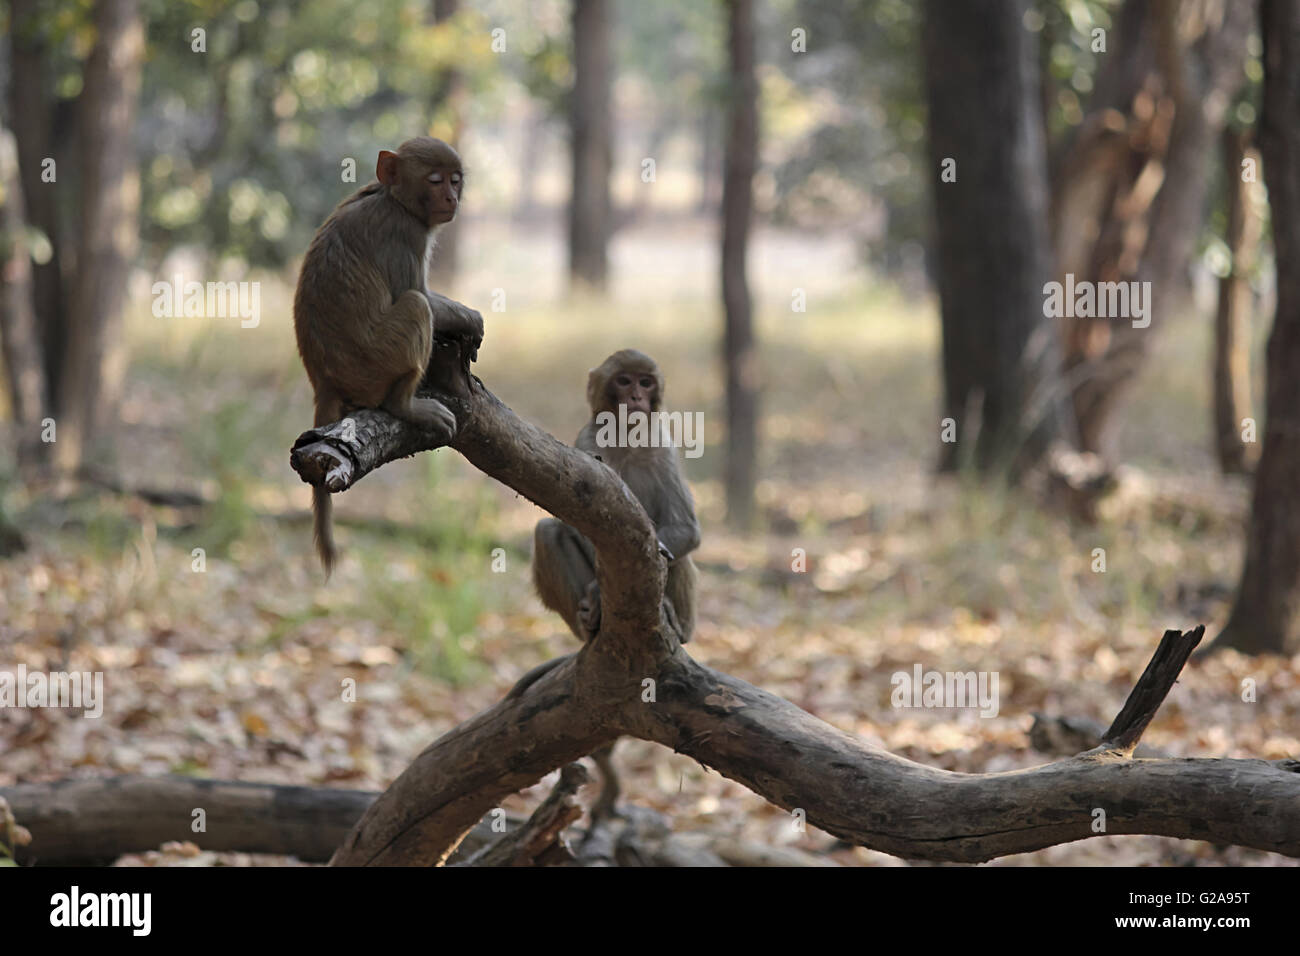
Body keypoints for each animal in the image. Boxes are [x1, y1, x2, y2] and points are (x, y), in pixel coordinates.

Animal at [292, 136, 486, 574]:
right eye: (435, 180)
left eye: (455, 179)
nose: (451, 196)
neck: (393, 198)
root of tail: (322, 380)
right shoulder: (406, 234)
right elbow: (421, 296)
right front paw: (471, 318)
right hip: (375, 362)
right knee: (416, 305)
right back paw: (405, 405)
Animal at [522, 348, 702, 816]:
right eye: (623, 381)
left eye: (645, 381)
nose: (636, 397)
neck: (626, 439)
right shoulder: (588, 445)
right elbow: (575, 521)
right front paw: (596, 599)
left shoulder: (662, 446)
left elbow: (687, 531)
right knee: (548, 531)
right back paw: (591, 623)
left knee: (674, 557)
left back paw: (676, 623)